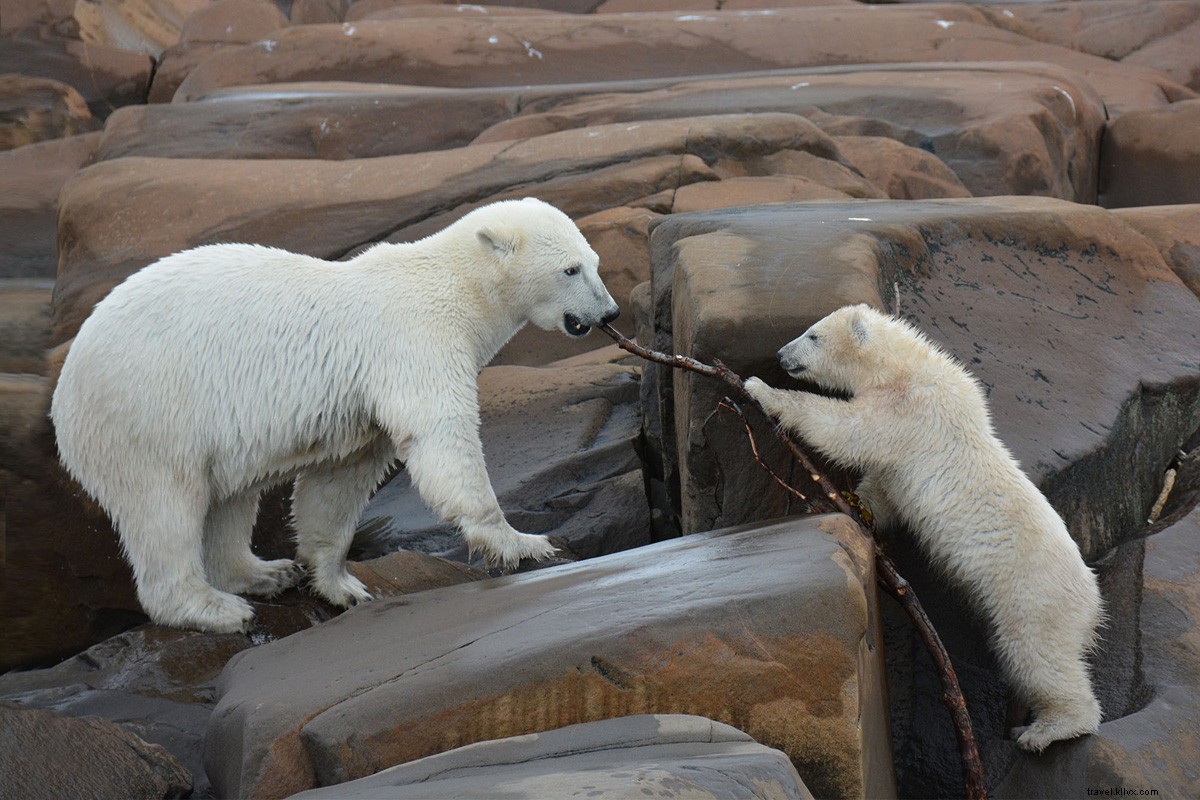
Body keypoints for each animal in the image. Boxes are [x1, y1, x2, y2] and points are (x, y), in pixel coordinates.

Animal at [51, 197, 620, 634]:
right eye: (570, 269)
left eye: (595, 260)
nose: (610, 312)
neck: (453, 283)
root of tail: (66, 388)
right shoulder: (413, 339)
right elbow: (442, 438)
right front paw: (522, 543)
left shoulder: (363, 400)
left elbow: (340, 480)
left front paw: (340, 584)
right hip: (150, 410)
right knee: (165, 507)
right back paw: (215, 609)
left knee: (228, 497)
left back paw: (262, 573)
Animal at [744, 303, 1103, 753]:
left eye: (813, 335)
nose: (780, 354)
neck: (905, 367)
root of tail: (1093, 599)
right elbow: (881, 489)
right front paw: (848, 505)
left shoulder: (907, 410)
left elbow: (846, 431)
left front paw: (759, 389)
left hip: (1034, 597)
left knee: (1036, 656)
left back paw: (1042, 730)